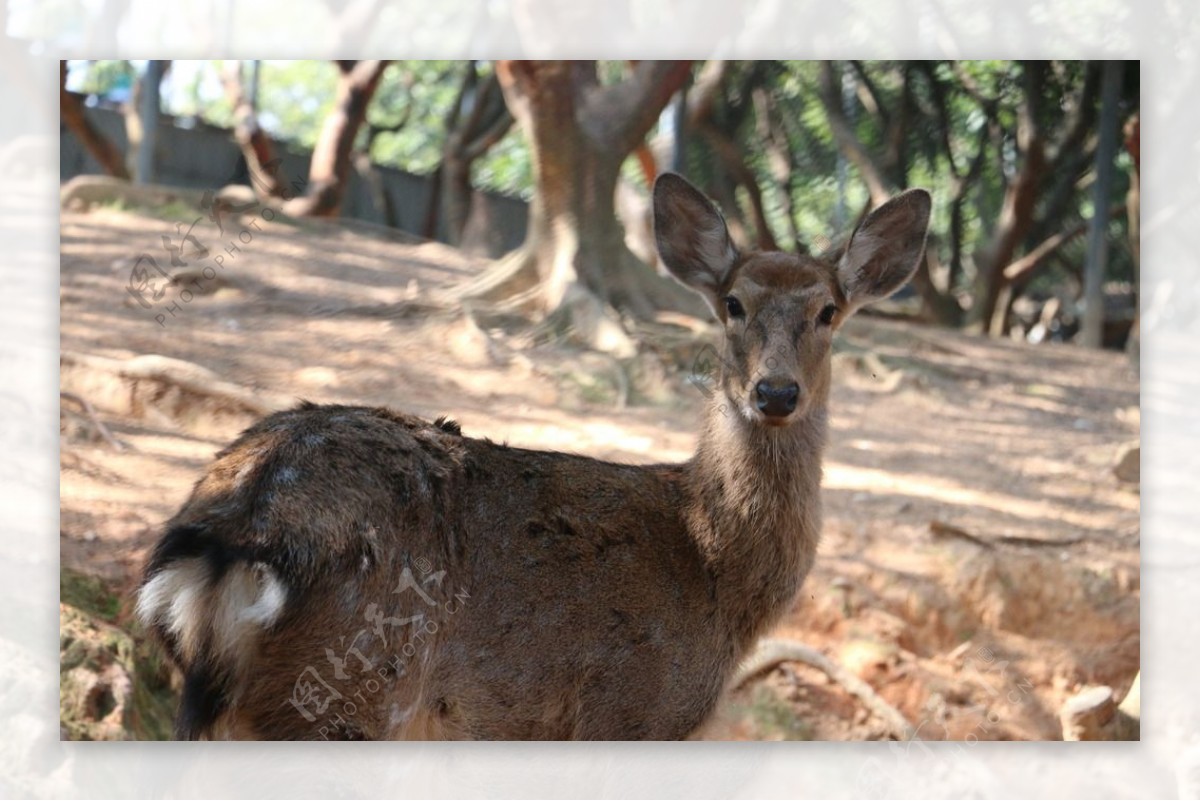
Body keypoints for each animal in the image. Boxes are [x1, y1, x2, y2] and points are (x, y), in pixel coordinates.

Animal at [138, 173, 926, 738]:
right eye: (732, 303)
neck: (714, 570)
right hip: (346, 686)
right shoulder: (626, 712)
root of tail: (235, 530)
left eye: (828, 311)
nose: (775, 391)